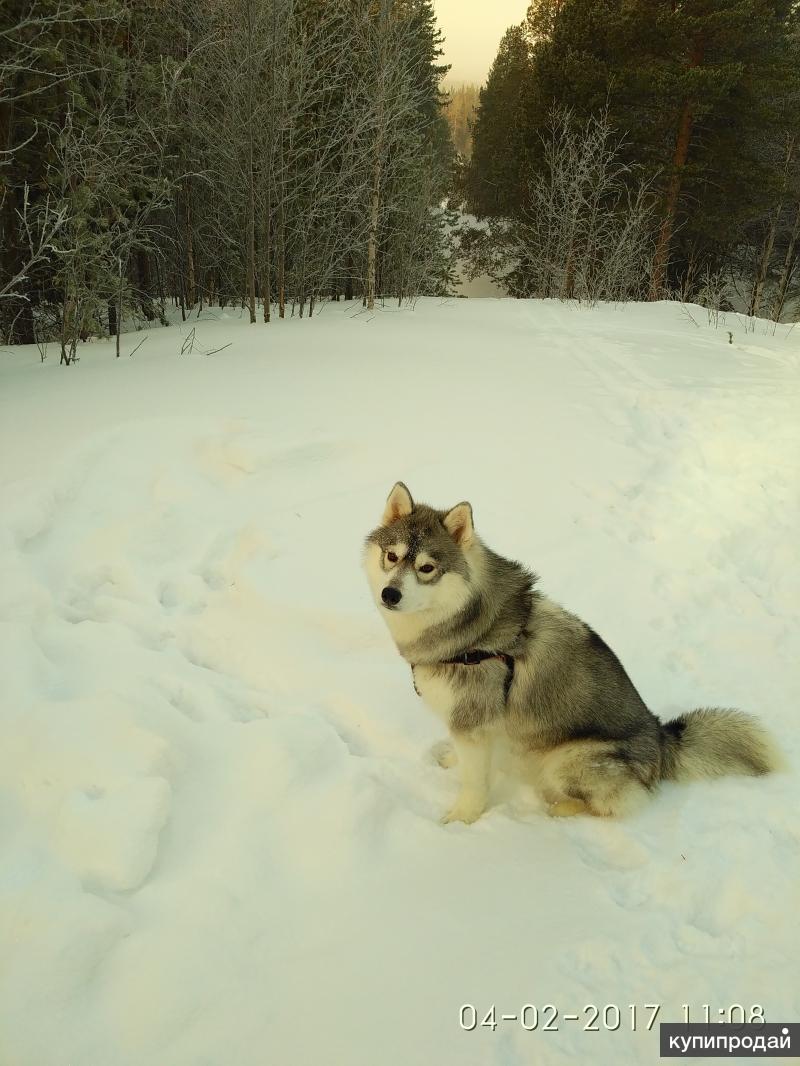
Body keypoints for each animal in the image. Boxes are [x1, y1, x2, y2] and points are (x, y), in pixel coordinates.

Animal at [364, 483, 785, 822]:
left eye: (427, 568)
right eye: (392, 556)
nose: (390, 594)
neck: (471, 634)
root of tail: (661, 740)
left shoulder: (473, 720)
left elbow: (474, 783)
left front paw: (462, 820)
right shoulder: (475, 728)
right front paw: (452, 760)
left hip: (565, 761)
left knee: (609, 806)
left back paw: (560, 810)